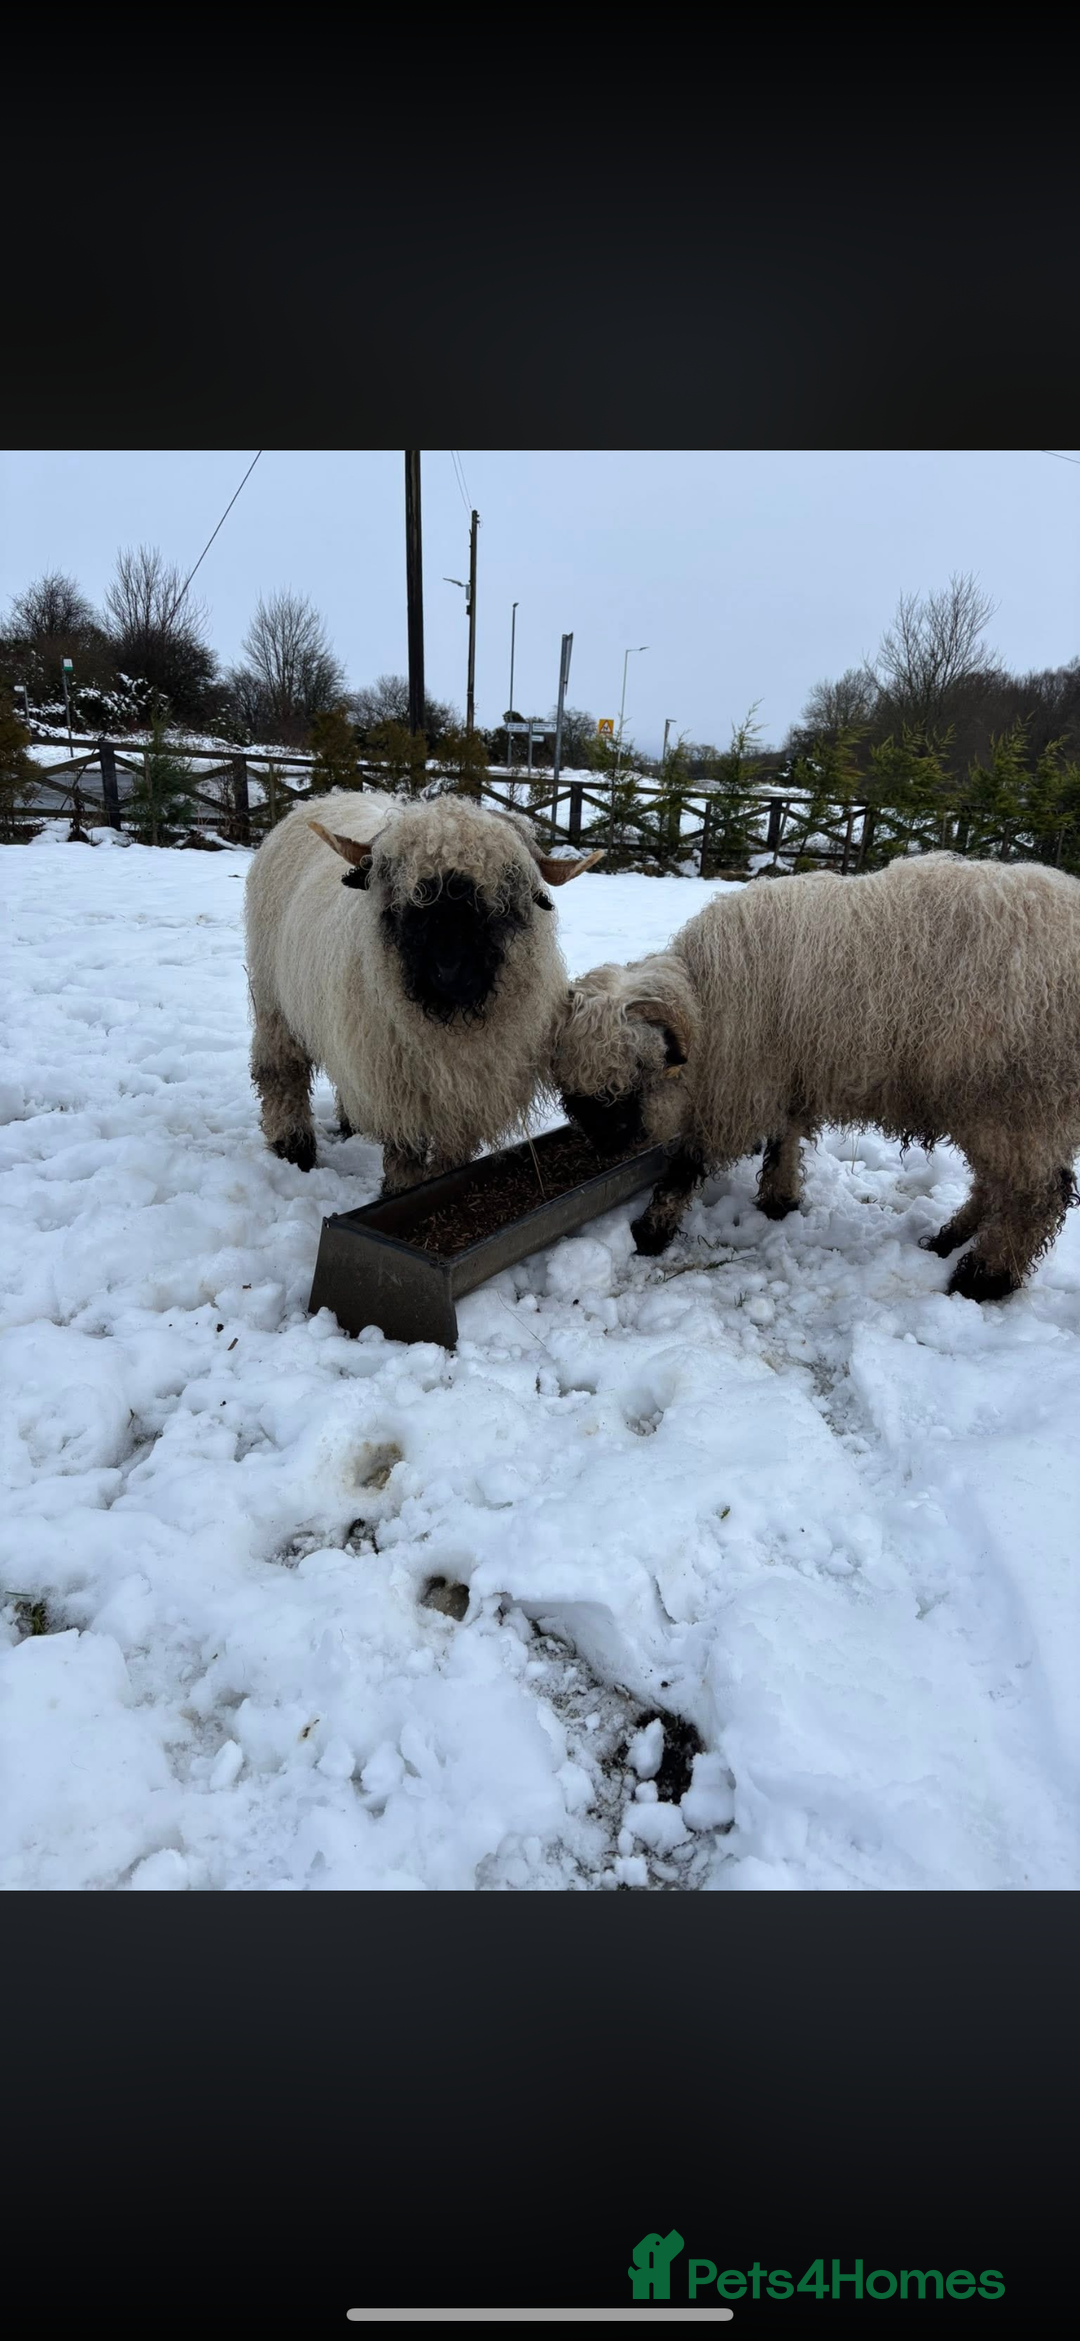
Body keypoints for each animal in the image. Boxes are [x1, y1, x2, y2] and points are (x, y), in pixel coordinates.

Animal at [245, 788, 602, 1191]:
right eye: (403, 889)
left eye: (507, 889)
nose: (449, 969)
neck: (450, 1023)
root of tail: (327, 797)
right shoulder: (402, 1096)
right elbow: (405, 1156)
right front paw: (400, 1190)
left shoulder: (463, 1098)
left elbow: (451, 1156)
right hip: (273, 996)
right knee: (281, 1070)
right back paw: (293, 1148)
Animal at [554, 852, 1080, 1301]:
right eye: (572, 1091)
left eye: (637, 1070)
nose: (604, 1145)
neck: (708, 1006)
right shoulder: (785, 1073)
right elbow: (784, 1138)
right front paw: (779, 1201)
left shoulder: (739, 1085)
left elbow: (688, 1161)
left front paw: (650, 1232)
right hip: (999, 1105)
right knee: (998, 1185)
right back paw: (950, 1238)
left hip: (1017, 1098)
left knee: (1037, 1196)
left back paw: (984, 1277)